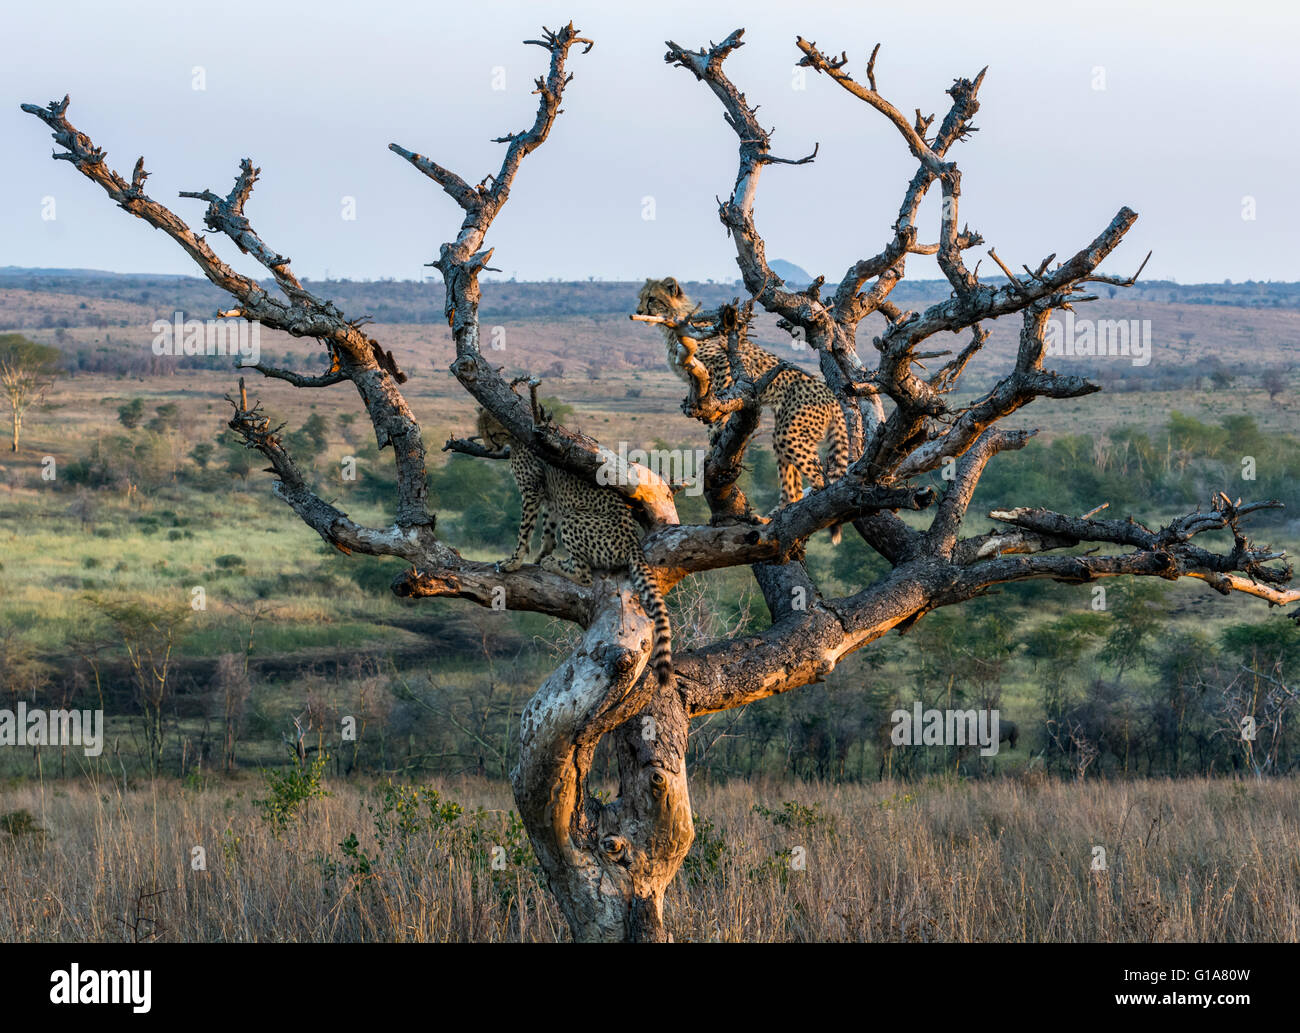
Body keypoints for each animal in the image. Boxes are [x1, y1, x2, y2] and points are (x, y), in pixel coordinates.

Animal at [476, 406, 673, 688]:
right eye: (481, 432)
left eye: (492, 433)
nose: (489, 447)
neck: (515, 439)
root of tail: (633, 542)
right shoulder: (548, 494)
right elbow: (548, 530)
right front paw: (540, 555)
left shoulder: (532, 489)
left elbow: (525, 530)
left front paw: (513, 562)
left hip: (575, 518)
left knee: (585, 574)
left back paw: (556, 565)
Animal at [636, 276, 849, 543]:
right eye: (641, 298)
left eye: (652, 298)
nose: (639, 311)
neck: (675, 325)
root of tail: (830, 393)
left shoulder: (726, 364)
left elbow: (721, 402)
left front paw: (716, 434)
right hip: (786, 434)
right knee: (793, 488)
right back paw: (772, 517)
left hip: (791, 434)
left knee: (821, 479)